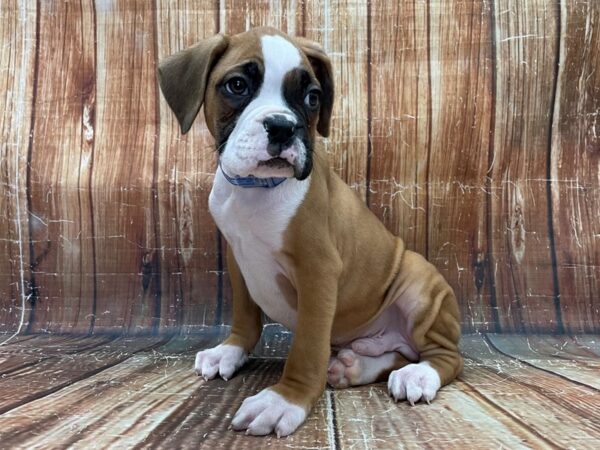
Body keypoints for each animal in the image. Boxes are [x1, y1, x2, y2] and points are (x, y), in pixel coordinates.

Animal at [157, 27, 462, 436]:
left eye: (312, 97)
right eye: (237, 85)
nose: (283, 126)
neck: (256, 189)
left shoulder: (317, 272)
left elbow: (306, 348)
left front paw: (284, 400)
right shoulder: (239, 262)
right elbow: (244, 316)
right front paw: (231, 351)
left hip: (420, 283)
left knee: (445, 356)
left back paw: (419, 375)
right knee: (395, 354)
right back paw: (355, 366)